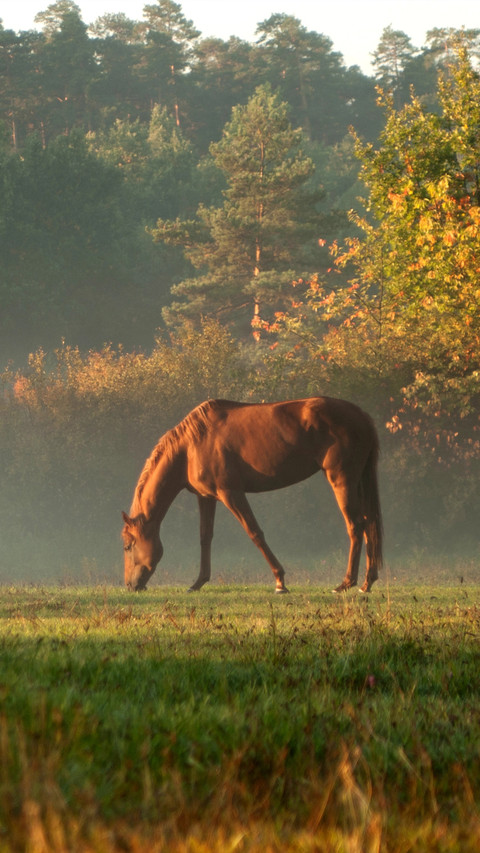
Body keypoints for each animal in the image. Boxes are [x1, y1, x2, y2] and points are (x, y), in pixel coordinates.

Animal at [122, 397, 383, 594]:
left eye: (127, 546)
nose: (130, 585)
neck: (191, 446)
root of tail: (362, 416)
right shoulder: (207, 497)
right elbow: (205, 537)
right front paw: (198, 583)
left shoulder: (231, 493)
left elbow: (254, 532)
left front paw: (280, 582)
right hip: (358, 481)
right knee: (368, 524)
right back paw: (367, 582)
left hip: (342, 481)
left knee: (355, 525)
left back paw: (346, 583)